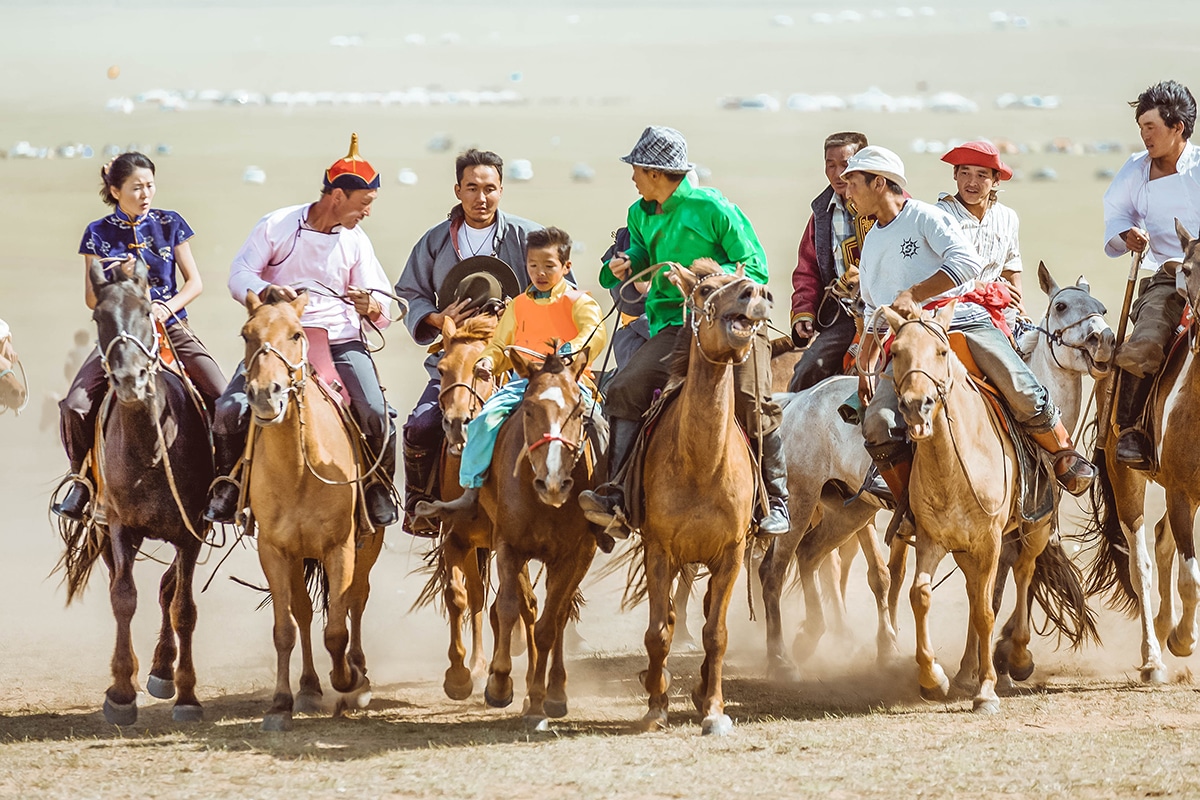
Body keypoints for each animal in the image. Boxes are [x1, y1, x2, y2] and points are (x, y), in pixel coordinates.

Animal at [55, 258, 214, 725]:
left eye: (147, 310)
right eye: (98, 317)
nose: (129, 378)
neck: (151, 451)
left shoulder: (191, 531)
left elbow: (183, 607)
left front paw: (187, 696)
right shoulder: (120, 526)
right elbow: (123, 599)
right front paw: (121, 693)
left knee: (168, 589)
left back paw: (163, 670)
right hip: (104, 528)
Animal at [239, 292, 382, 730]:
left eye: (296, 334)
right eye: (247, 334)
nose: (265, 393)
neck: (300, 468)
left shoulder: (342, 547)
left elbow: (336, 628)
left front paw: (351, 682)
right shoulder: (274, 549)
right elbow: (284, 628)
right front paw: (281, 704)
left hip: (366, 547)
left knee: (356, 601)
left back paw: (358, 673)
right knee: (302, 613)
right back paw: (308, 688)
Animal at [636, 260, 771, 736]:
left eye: (747, 277)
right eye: (705, 289)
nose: (754, 293)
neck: (701, 463)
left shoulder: (730, 554)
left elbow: (716, 633)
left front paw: (713, 709)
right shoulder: (659, 550)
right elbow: (658, 631)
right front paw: (656, 706)